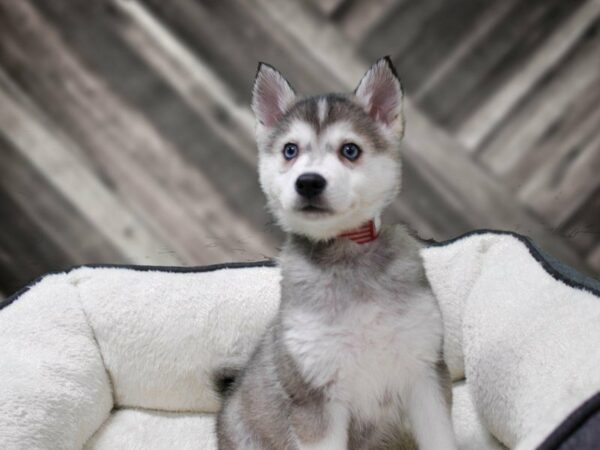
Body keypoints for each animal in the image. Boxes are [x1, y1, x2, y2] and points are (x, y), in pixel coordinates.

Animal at [218, 58, 458, 448]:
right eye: (290, 150)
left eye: (350, 150)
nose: (309, 182)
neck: (346, 253)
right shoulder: (315, 398)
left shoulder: (425, 373)